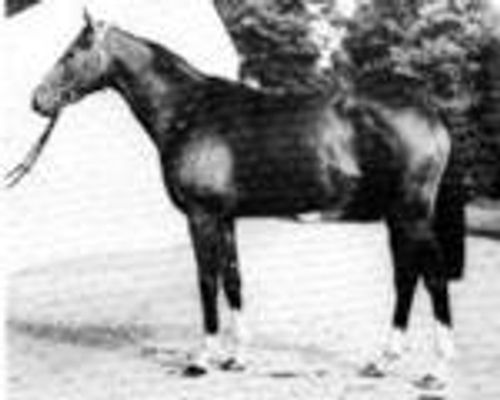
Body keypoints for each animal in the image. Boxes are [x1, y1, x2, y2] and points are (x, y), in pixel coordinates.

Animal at [26, 13, 465, 386]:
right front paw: (236, 357)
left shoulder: (201, 216)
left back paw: (438, 371)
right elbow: (233, 279)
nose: (38, 100)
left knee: (433, 277)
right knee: (406, 277)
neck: (189, 111)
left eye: (71, 53)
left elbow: (207, 280)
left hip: (412, 214)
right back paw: (382, 361)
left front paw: (202, 359)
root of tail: (428, 106)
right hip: (397, 215)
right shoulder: (225, 217)